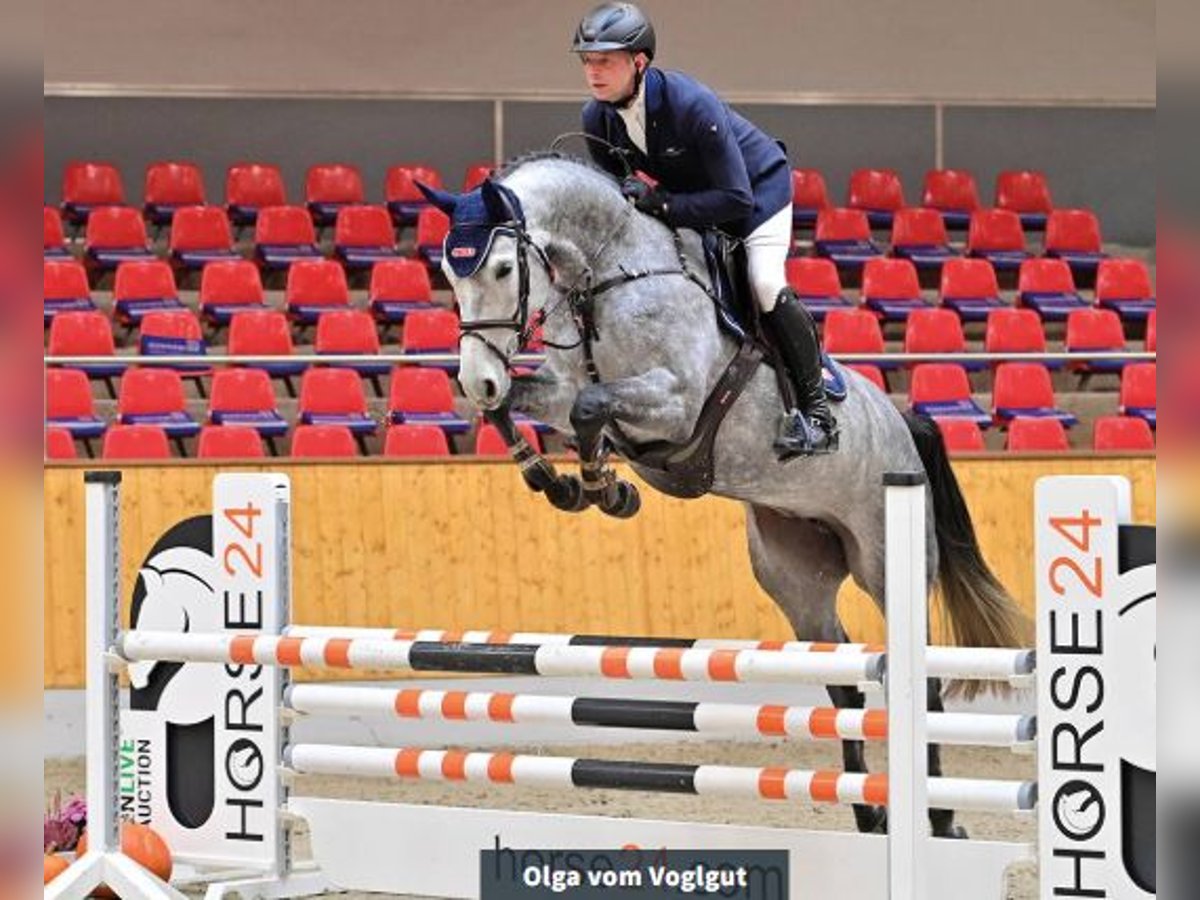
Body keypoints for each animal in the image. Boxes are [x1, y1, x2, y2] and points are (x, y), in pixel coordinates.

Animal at [418, 152, 1026, 837]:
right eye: (448, 272)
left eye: (501, 268)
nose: (479, 374)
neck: (610, 278)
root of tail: (904, 424)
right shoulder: (557, 387)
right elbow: (527, 408)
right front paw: (558, 479)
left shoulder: (676, 401)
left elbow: (591, 406)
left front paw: (603, 487)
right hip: (795, 573)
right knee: (843, 684)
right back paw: (870, 813)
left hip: (885, 559)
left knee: (919, 681)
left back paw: (943, 818)